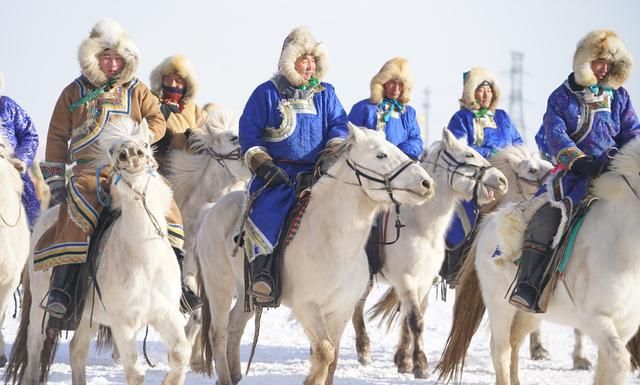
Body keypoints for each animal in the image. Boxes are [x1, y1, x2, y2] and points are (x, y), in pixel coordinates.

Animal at [5, 117, 190, 384]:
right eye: (113, 150)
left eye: (145, 143)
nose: (131, 154)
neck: (144, 259)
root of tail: (45, 218)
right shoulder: (122, 323)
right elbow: (135, 372)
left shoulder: (167, 314)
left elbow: (180, 353)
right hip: (42, 311)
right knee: (34, 349)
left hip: (86, 317)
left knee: (77, 349)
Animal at [195, 124, 436, 384]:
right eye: (381, 155)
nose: (427, 184)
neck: (335, 243)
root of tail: (211, 209)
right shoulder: (308, 308)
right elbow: (325, 351)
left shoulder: (342, 310)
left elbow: (334, 358)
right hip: (219, 284)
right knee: (218, 333)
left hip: (245, 291)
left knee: (235, 326)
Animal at [350, 129, 510, 376]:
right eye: (469, 154)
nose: (502, 181)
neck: (420, 226)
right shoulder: (406, 279)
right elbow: (415, 320)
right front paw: (420, 365)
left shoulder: (424, 280)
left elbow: (411, 319)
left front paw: (405, 361)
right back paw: (363, 351)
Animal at [438, 137, 640, 384]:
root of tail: (490, 221)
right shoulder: (596, 320)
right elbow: (620, 362)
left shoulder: (627, 325)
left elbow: (607, 370)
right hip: (498, 304)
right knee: (500, 349)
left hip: (530, 312)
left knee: (514, 341)